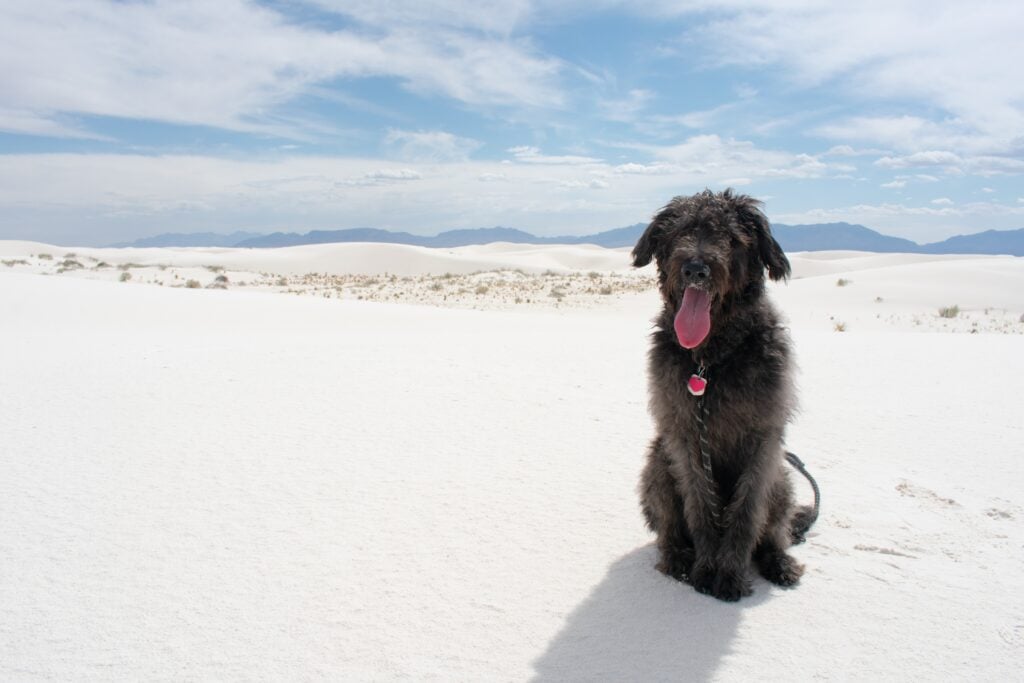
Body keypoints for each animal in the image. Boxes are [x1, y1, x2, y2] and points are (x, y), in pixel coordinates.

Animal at [630, 189, 815, 602]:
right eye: (679, 232)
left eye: (732, 238)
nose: (696, 269)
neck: (709, 361)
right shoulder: (684, 438)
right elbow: (701, 506)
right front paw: (706, 568)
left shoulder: (764, 441)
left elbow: (746, 513)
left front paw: (729, 574)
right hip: (657, 464)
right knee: (669, 527)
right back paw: (678, 557)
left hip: (783, 479)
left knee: (774, 532)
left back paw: (779, 562)